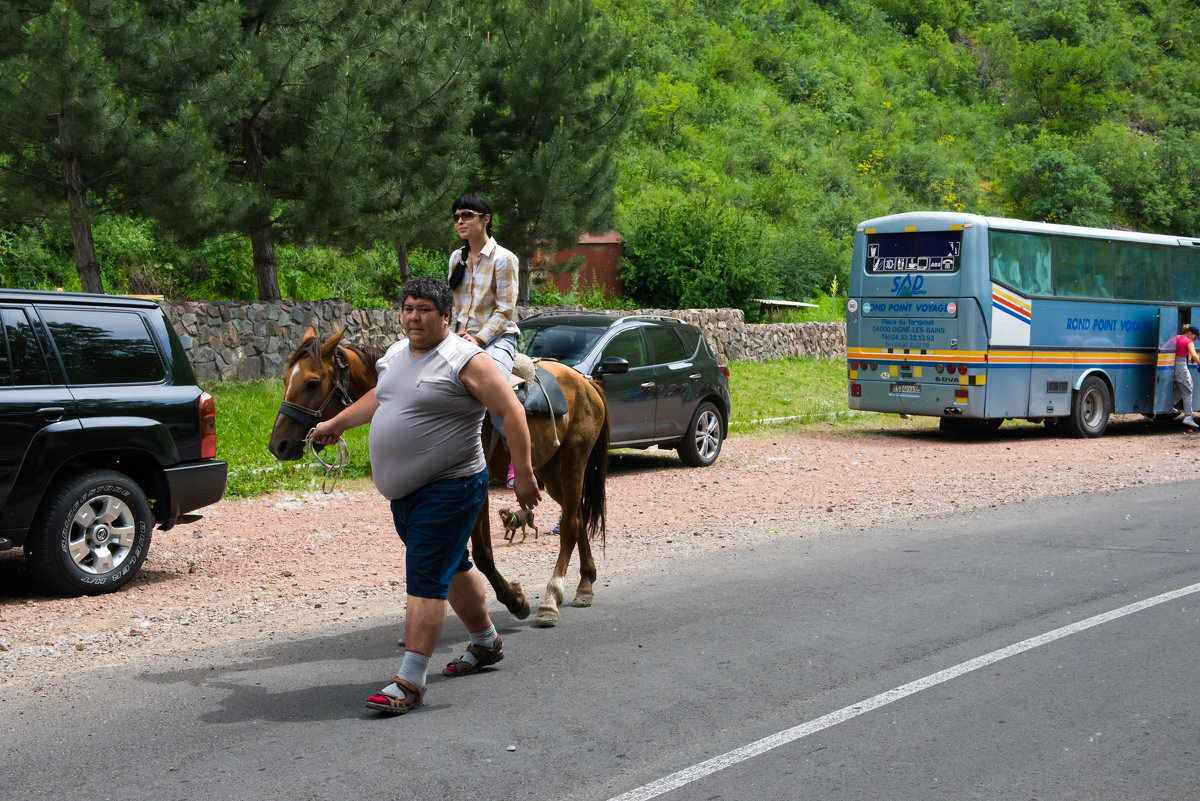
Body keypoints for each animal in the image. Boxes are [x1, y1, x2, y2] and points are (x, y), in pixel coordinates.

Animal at [270, 326, 609, 623]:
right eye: (285, 378)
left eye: (312, 382)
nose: (278, 444)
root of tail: (585, 381)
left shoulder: (476, 489)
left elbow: (483, 554)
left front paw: (515, 600)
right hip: (550, 471)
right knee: (576, 516)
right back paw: (585, 584)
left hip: (573, 463)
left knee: (570, 525)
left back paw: (551, 597)